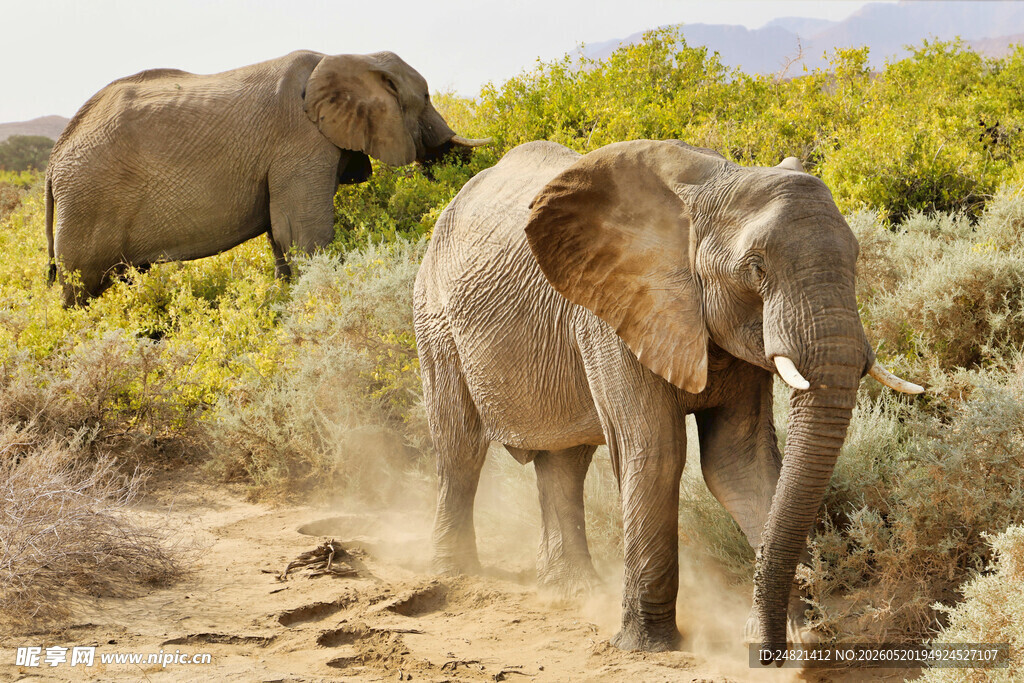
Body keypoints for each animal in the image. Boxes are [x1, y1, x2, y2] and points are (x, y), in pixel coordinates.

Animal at [44, 50, 487, 305]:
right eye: (425, 98)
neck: (349, 56)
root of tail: (53, 160)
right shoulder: (300, 142)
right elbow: (304, 233)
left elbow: (282, 233)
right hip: (88, 202)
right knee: (80, 289)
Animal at [412, 140, 923, 662]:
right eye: (756, 268)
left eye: (856, 259)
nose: (768, 652)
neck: (712, 187)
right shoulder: (612, 314)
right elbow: (656, 452)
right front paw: (648, 646)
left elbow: (740, 462)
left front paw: (795, 641)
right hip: (434, 317)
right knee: (460, 448)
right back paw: (456, 575)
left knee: (565, 462)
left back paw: (571, 593)